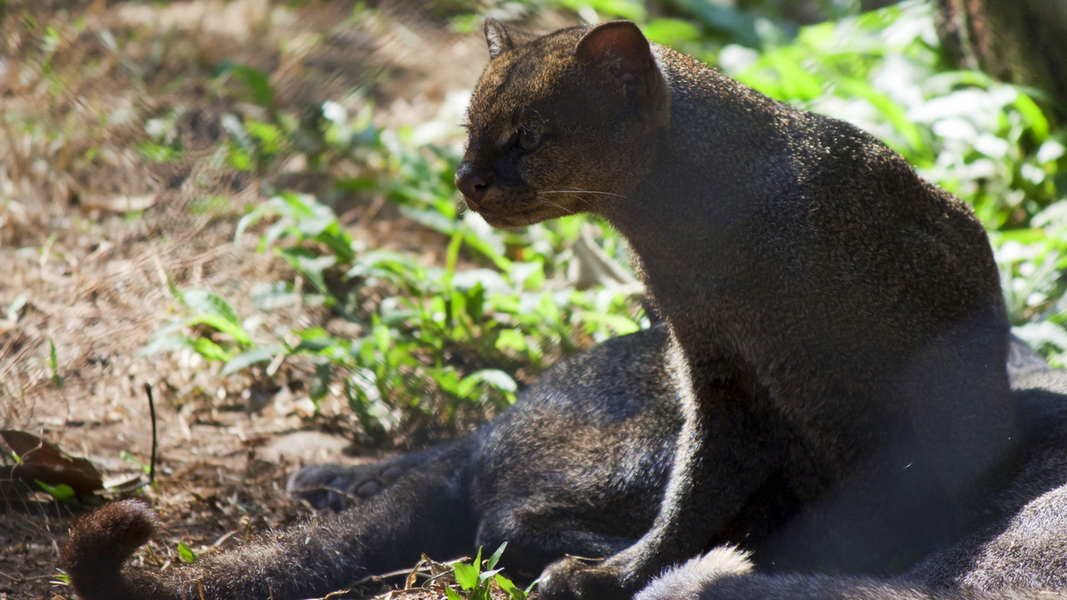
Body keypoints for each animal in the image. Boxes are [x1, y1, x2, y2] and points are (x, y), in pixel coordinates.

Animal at [456, 17, 1015, 593]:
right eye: (469, 129)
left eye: (529, 136)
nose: (466, 179)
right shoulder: (721, 377)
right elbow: (692, 497)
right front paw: (617, 574)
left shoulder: (848, 391)